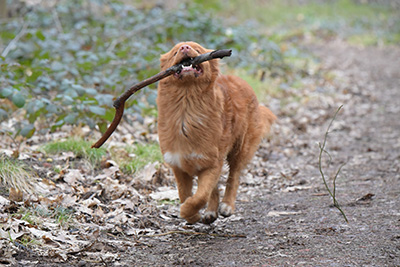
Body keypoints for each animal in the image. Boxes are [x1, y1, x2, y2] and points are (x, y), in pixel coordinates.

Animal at [156, 41, 276, 224]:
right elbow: (185, 194)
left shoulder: (212, 163)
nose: (184, 47)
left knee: (234, 177)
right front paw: (192, 215)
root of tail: (242, 81)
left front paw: (188, 210)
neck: (186, 109)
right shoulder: (179, 165)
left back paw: (226, 205)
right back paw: (211, 212)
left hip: (240, 149)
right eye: (175, 52)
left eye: (197, 49)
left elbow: (201, 196)